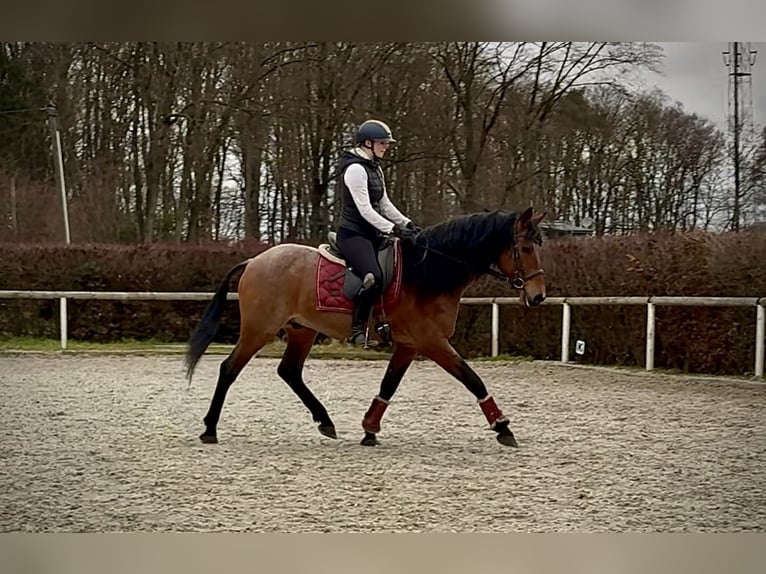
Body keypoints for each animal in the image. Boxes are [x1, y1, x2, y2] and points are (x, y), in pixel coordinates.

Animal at [185, 206, 546, 448]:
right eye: (526, 248)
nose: (538, 296)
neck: (425, 272)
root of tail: (255, 261)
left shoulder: (410, 344)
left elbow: (389, 385)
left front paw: (370, 428)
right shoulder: (430, 340)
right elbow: (471, 378)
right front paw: (503, 426)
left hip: (302, 329)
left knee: (289, 371)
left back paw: (326, 421)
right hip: (259, 329)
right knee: (229, 369)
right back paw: (210, 429)